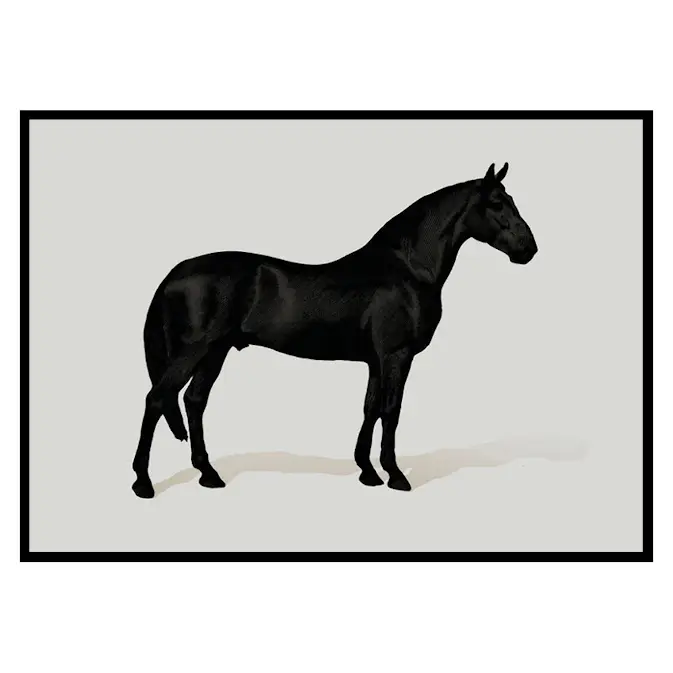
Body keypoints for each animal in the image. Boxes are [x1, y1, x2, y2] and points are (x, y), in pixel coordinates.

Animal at [132, 162, 538, 498]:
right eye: (497, 203)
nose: (528, 248)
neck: (408, 268)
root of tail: (176, 272)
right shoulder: (397, 355)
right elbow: (391, 410)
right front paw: (395, 475)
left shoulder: (375, 360)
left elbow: (370, 409)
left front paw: (368, 472)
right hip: (194, 351)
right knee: (157, 399)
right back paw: (143, 483)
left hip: (215, 352)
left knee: (193, 401)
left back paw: (209, 474)